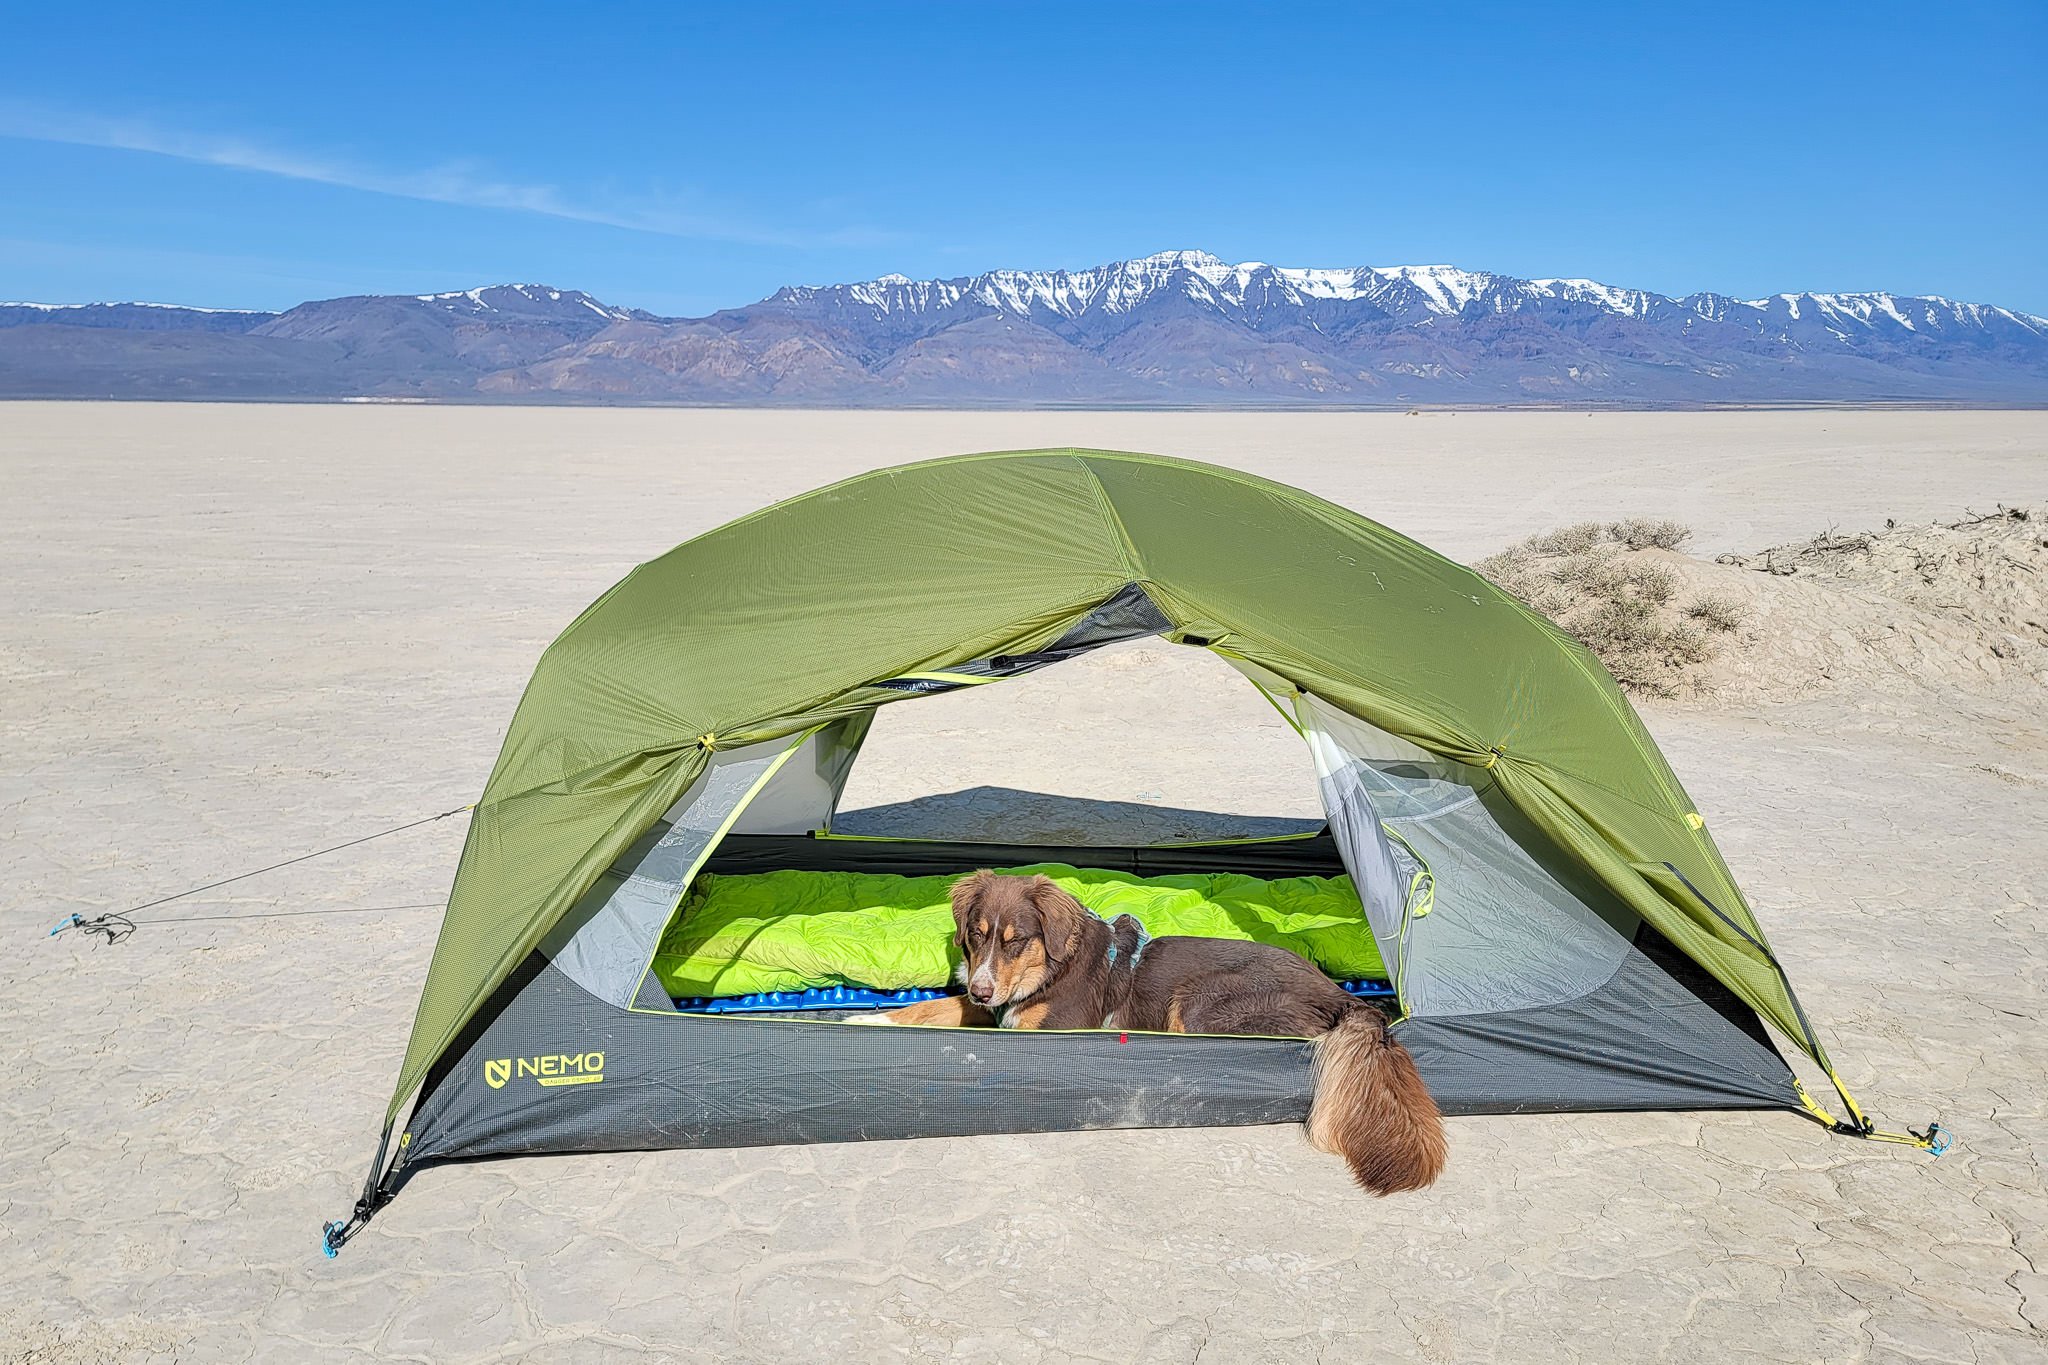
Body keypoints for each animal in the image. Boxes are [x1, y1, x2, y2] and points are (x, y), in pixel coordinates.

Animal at [856, 875, 1449, 1195]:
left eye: (1016, 939)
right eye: (976, 937)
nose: (981, 989)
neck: (1053, 967)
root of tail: (1342, 995)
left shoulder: (1045, 1024)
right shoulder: (998, 1007)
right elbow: (934, 1007)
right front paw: (869, 1020)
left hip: (1199, 1003)